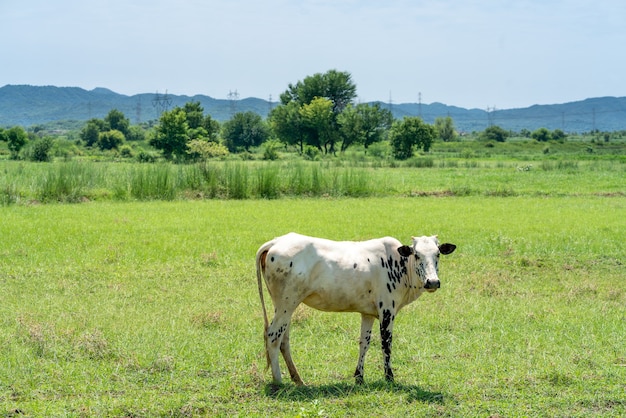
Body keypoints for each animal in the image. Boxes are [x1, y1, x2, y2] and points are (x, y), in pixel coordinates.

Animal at [254, 232, 454, 386]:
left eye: (438, 254)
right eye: (417, 254)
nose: (432, 282)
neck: (400, 265)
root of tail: (277, 241)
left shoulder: (368, 313)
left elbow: (364, 342)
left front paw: (359, 377)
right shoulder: (387, 311)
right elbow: (386, 344)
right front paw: (389, 377)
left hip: (284, 306)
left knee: (284, 339)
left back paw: (298, 379)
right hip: (286, 304)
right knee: (273, 336)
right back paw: (279, 380)